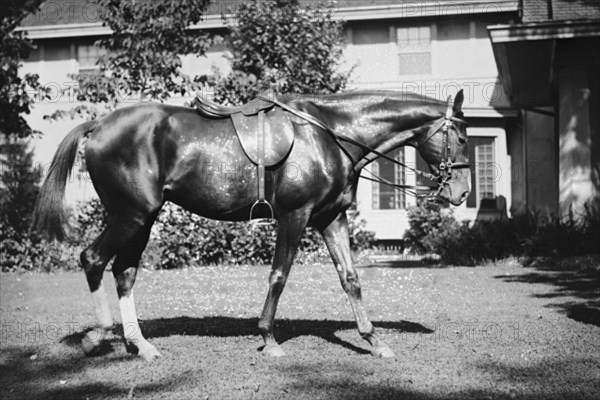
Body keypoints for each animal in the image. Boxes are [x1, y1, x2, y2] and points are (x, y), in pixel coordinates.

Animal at [32, 89, 472, 360]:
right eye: (464, 137)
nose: (463, 192)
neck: (330, 135)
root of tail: (99, 126)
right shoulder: (295, 216)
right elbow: (279, 275)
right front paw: (269, 339)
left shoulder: (331, 218)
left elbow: (351, 279)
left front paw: (374, 341)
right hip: (131, 215)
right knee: (93, 259)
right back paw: (98, 336)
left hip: (142, 219)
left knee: (124, 271)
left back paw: (140, 345)